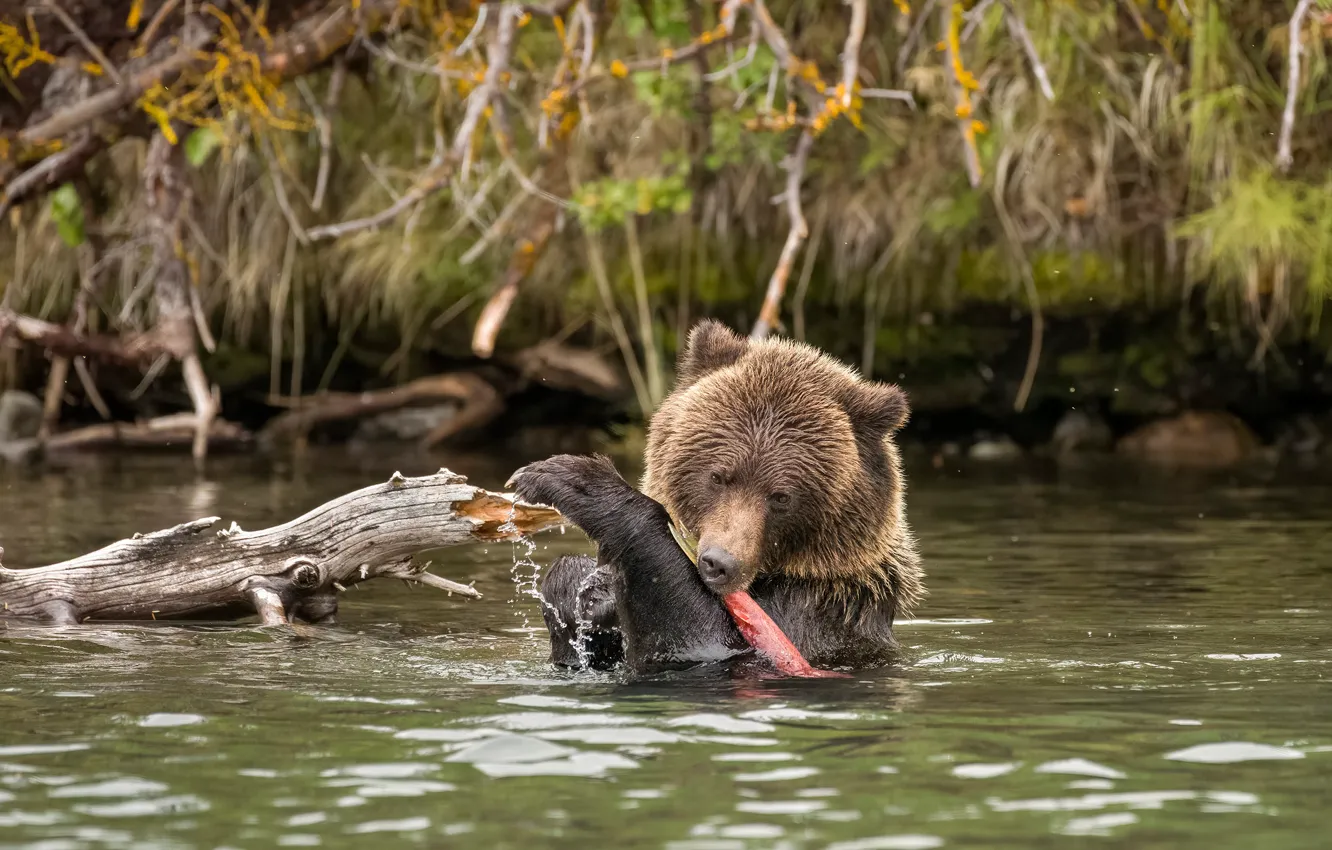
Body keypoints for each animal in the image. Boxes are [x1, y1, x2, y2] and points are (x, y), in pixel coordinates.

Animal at [508, 317, 927, 676]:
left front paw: (569, 479)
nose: (718, 563)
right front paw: (587, 590)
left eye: (781, 496)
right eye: (718, 476)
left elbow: (695, 637)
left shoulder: (821, 616)